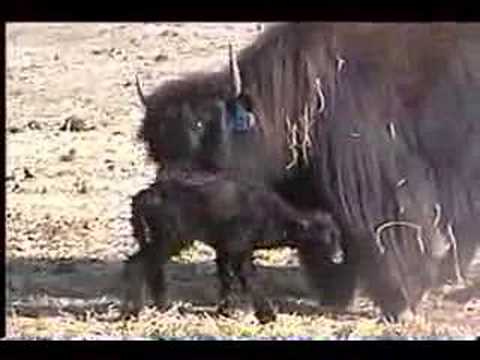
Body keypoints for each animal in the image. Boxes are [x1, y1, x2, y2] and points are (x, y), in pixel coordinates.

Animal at [122, 173, 344, 322]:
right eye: (326, 237)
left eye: (337, 235)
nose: (339, 256)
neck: (270, 215)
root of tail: (144, 195)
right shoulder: (239, 249)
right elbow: (248, 278)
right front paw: (266, 315)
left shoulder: (224, 248)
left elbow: (225, 278)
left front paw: (225, 310)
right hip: (170, 238)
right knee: (137, 264)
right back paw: (133, 311)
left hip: (157, 238)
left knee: (149, 267)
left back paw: (161, 306)